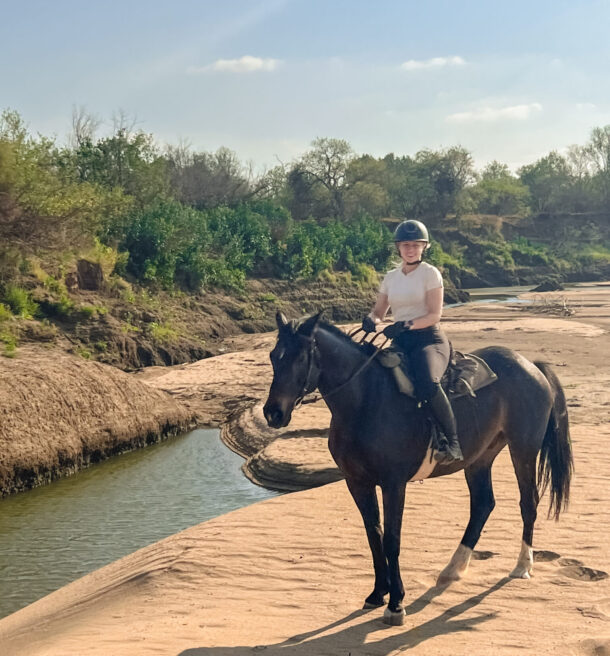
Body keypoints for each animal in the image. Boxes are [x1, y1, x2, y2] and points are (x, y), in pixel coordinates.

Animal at [262, 311, 573, 625]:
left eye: (301, 357)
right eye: (274, 356)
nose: (273, 413)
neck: (365, 401)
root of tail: (529, 365)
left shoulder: (393, 483)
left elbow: (392, 539)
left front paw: (396, 603)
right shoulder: (357, 482)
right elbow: (373, 535)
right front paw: (378, 593)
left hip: (523, 448)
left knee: (528, 502)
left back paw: (522, 566)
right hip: (480, 458)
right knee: (483, 504)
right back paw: (453, 569)